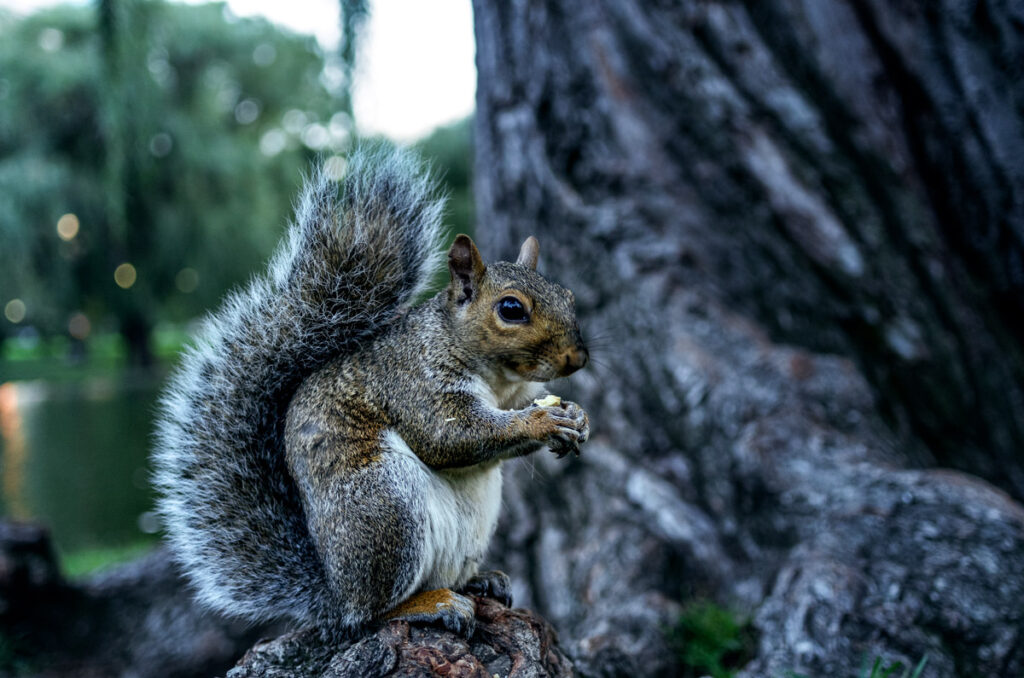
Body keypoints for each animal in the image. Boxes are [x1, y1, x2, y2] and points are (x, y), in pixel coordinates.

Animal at [152, 144, 590, 637]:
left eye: (569, 297)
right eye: (511, 309)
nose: (577, 358)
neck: (498, 378)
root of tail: (333, 595)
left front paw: (577, 418)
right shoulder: (412, 382)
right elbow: (450, 436)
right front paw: (544, 420)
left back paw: (482, 581)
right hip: (384, 507)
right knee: (373, 612)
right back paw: (433, 604)